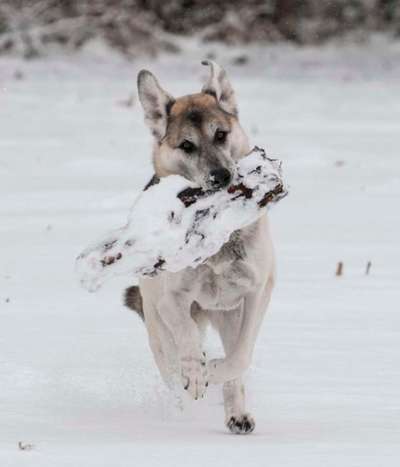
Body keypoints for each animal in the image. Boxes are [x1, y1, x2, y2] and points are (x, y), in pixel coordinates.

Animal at [125, 61, 276, 436]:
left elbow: (240, 356)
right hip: (156, 323)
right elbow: (186, 338)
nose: (220, 177)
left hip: (228, 316)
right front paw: (195, 372)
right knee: (170, 360)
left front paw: (214, 372)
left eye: (221, 134)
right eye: (186, 145)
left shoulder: (256, 293)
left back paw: (236, 413)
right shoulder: (172, 300)